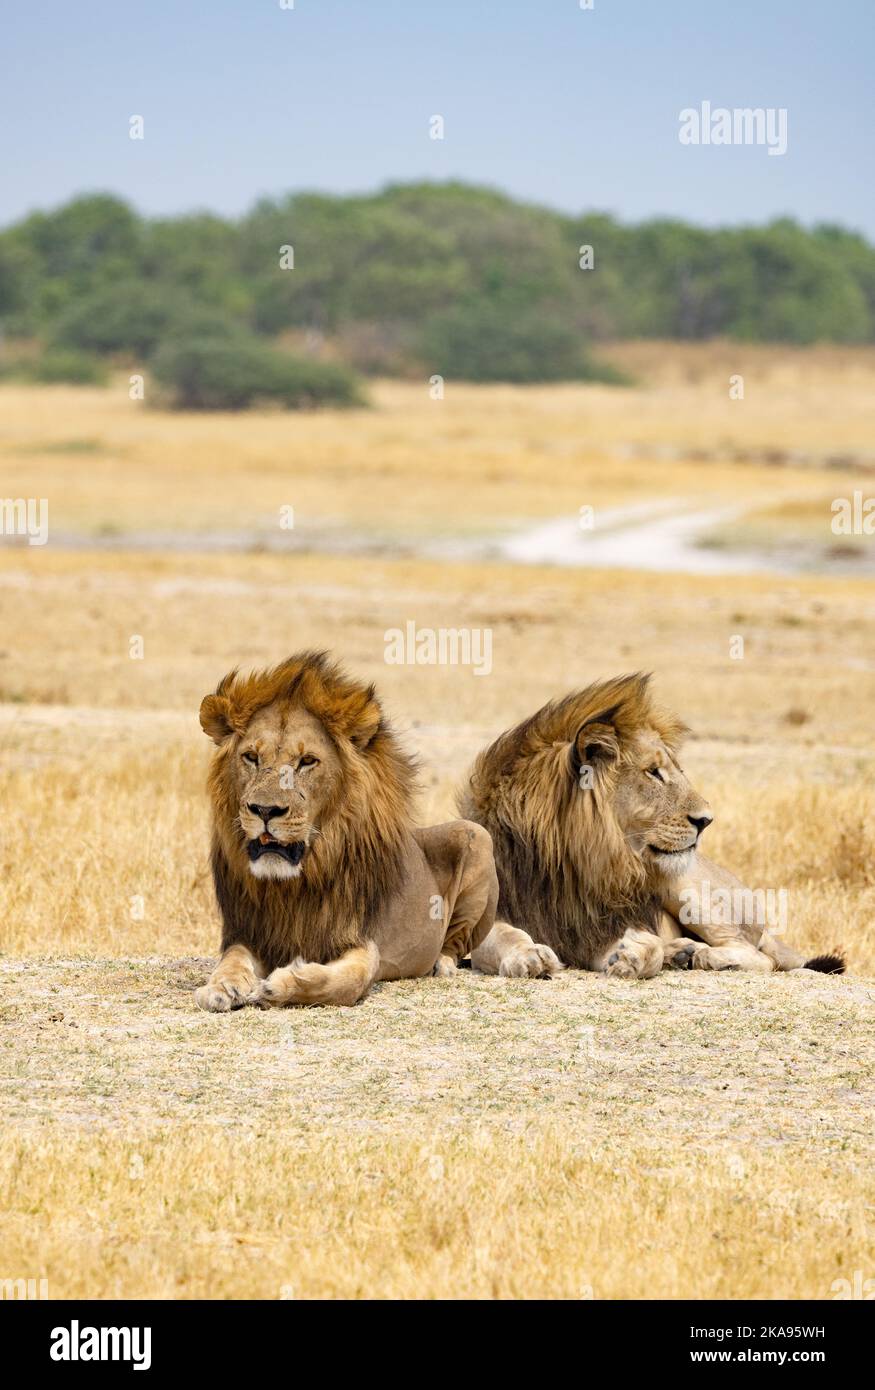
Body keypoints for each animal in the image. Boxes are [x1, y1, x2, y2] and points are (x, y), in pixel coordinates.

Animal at [197, 650, 498, 1011]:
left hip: (477, 837)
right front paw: (221, 987)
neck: (293, 886)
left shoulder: (363, 942)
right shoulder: (248, 934)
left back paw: (443, 963)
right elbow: (232, 959)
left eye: (307, 761)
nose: (265, 810)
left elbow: (349, 980)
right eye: (251, 757)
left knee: (455, 941)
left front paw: (282, 985)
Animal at [461, 669, 840, 978]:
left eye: (675, 770)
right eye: (654, 772)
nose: (706, 820)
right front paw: (529, 956)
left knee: (759, 955)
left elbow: (647, 946)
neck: (570, 864)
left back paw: (704, 957)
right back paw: (684, 952)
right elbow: (504, 935)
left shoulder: (601, 929)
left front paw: (638, 955)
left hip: (686, 886)